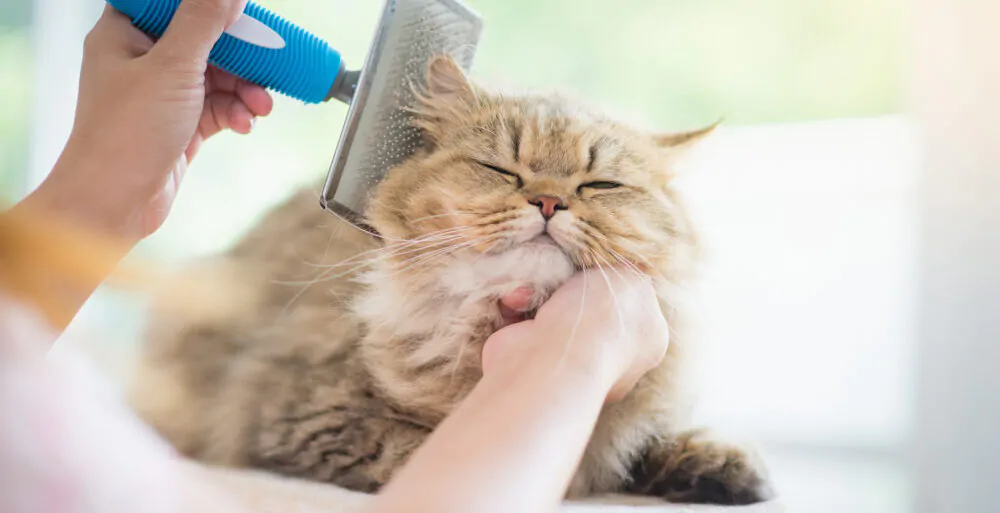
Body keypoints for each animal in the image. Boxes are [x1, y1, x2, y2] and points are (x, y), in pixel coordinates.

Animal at [129, 54, 772, 502]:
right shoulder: (306, 418)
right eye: (502, 170)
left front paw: (721, 468)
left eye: (599, 185)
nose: (548, 202)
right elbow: (415, 448)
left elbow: (648, 440)